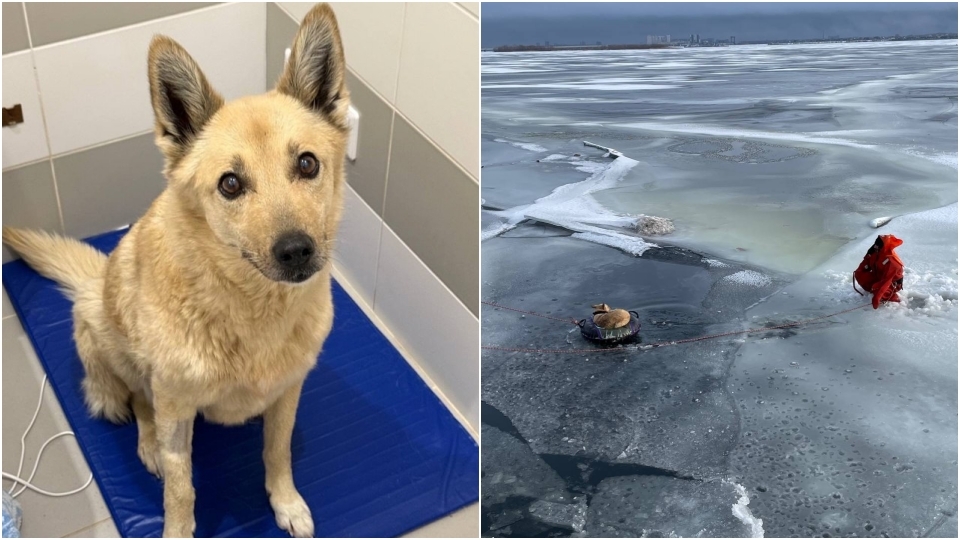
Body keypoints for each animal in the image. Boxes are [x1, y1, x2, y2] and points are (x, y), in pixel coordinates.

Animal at [3, 3, 350, 536]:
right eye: (230, 183)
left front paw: (286, 501)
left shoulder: (289, 391)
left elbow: (278, 450)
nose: (297, 250)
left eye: (308, 164)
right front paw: (177, 525)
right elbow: (180, 487)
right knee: (138, 401)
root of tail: (94, 280)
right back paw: (146, 443)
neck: (253, 312)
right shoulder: (176, 407)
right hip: (117, 344)